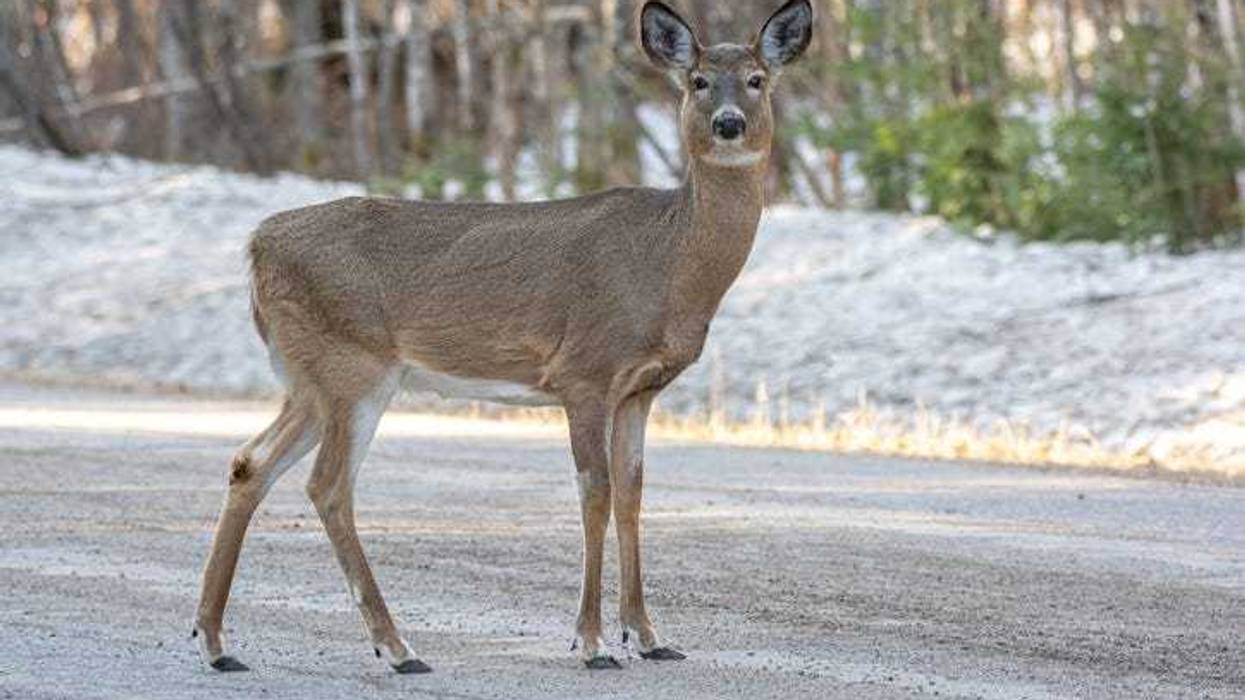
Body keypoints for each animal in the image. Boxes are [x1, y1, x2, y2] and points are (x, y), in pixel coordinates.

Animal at [193, 0, 814, 674]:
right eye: (698, 81)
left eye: (756, 79)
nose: (729, 123)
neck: (671, 261)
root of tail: (258, 246)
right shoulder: (584, 371)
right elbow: (594, 493)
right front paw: (592, 642)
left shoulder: (639, 389)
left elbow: (632, 494)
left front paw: (649, 636)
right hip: (352, 366)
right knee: (327, 486)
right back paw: (396, 645)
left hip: (310, 378)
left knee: (250, 463)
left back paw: (216, 640)